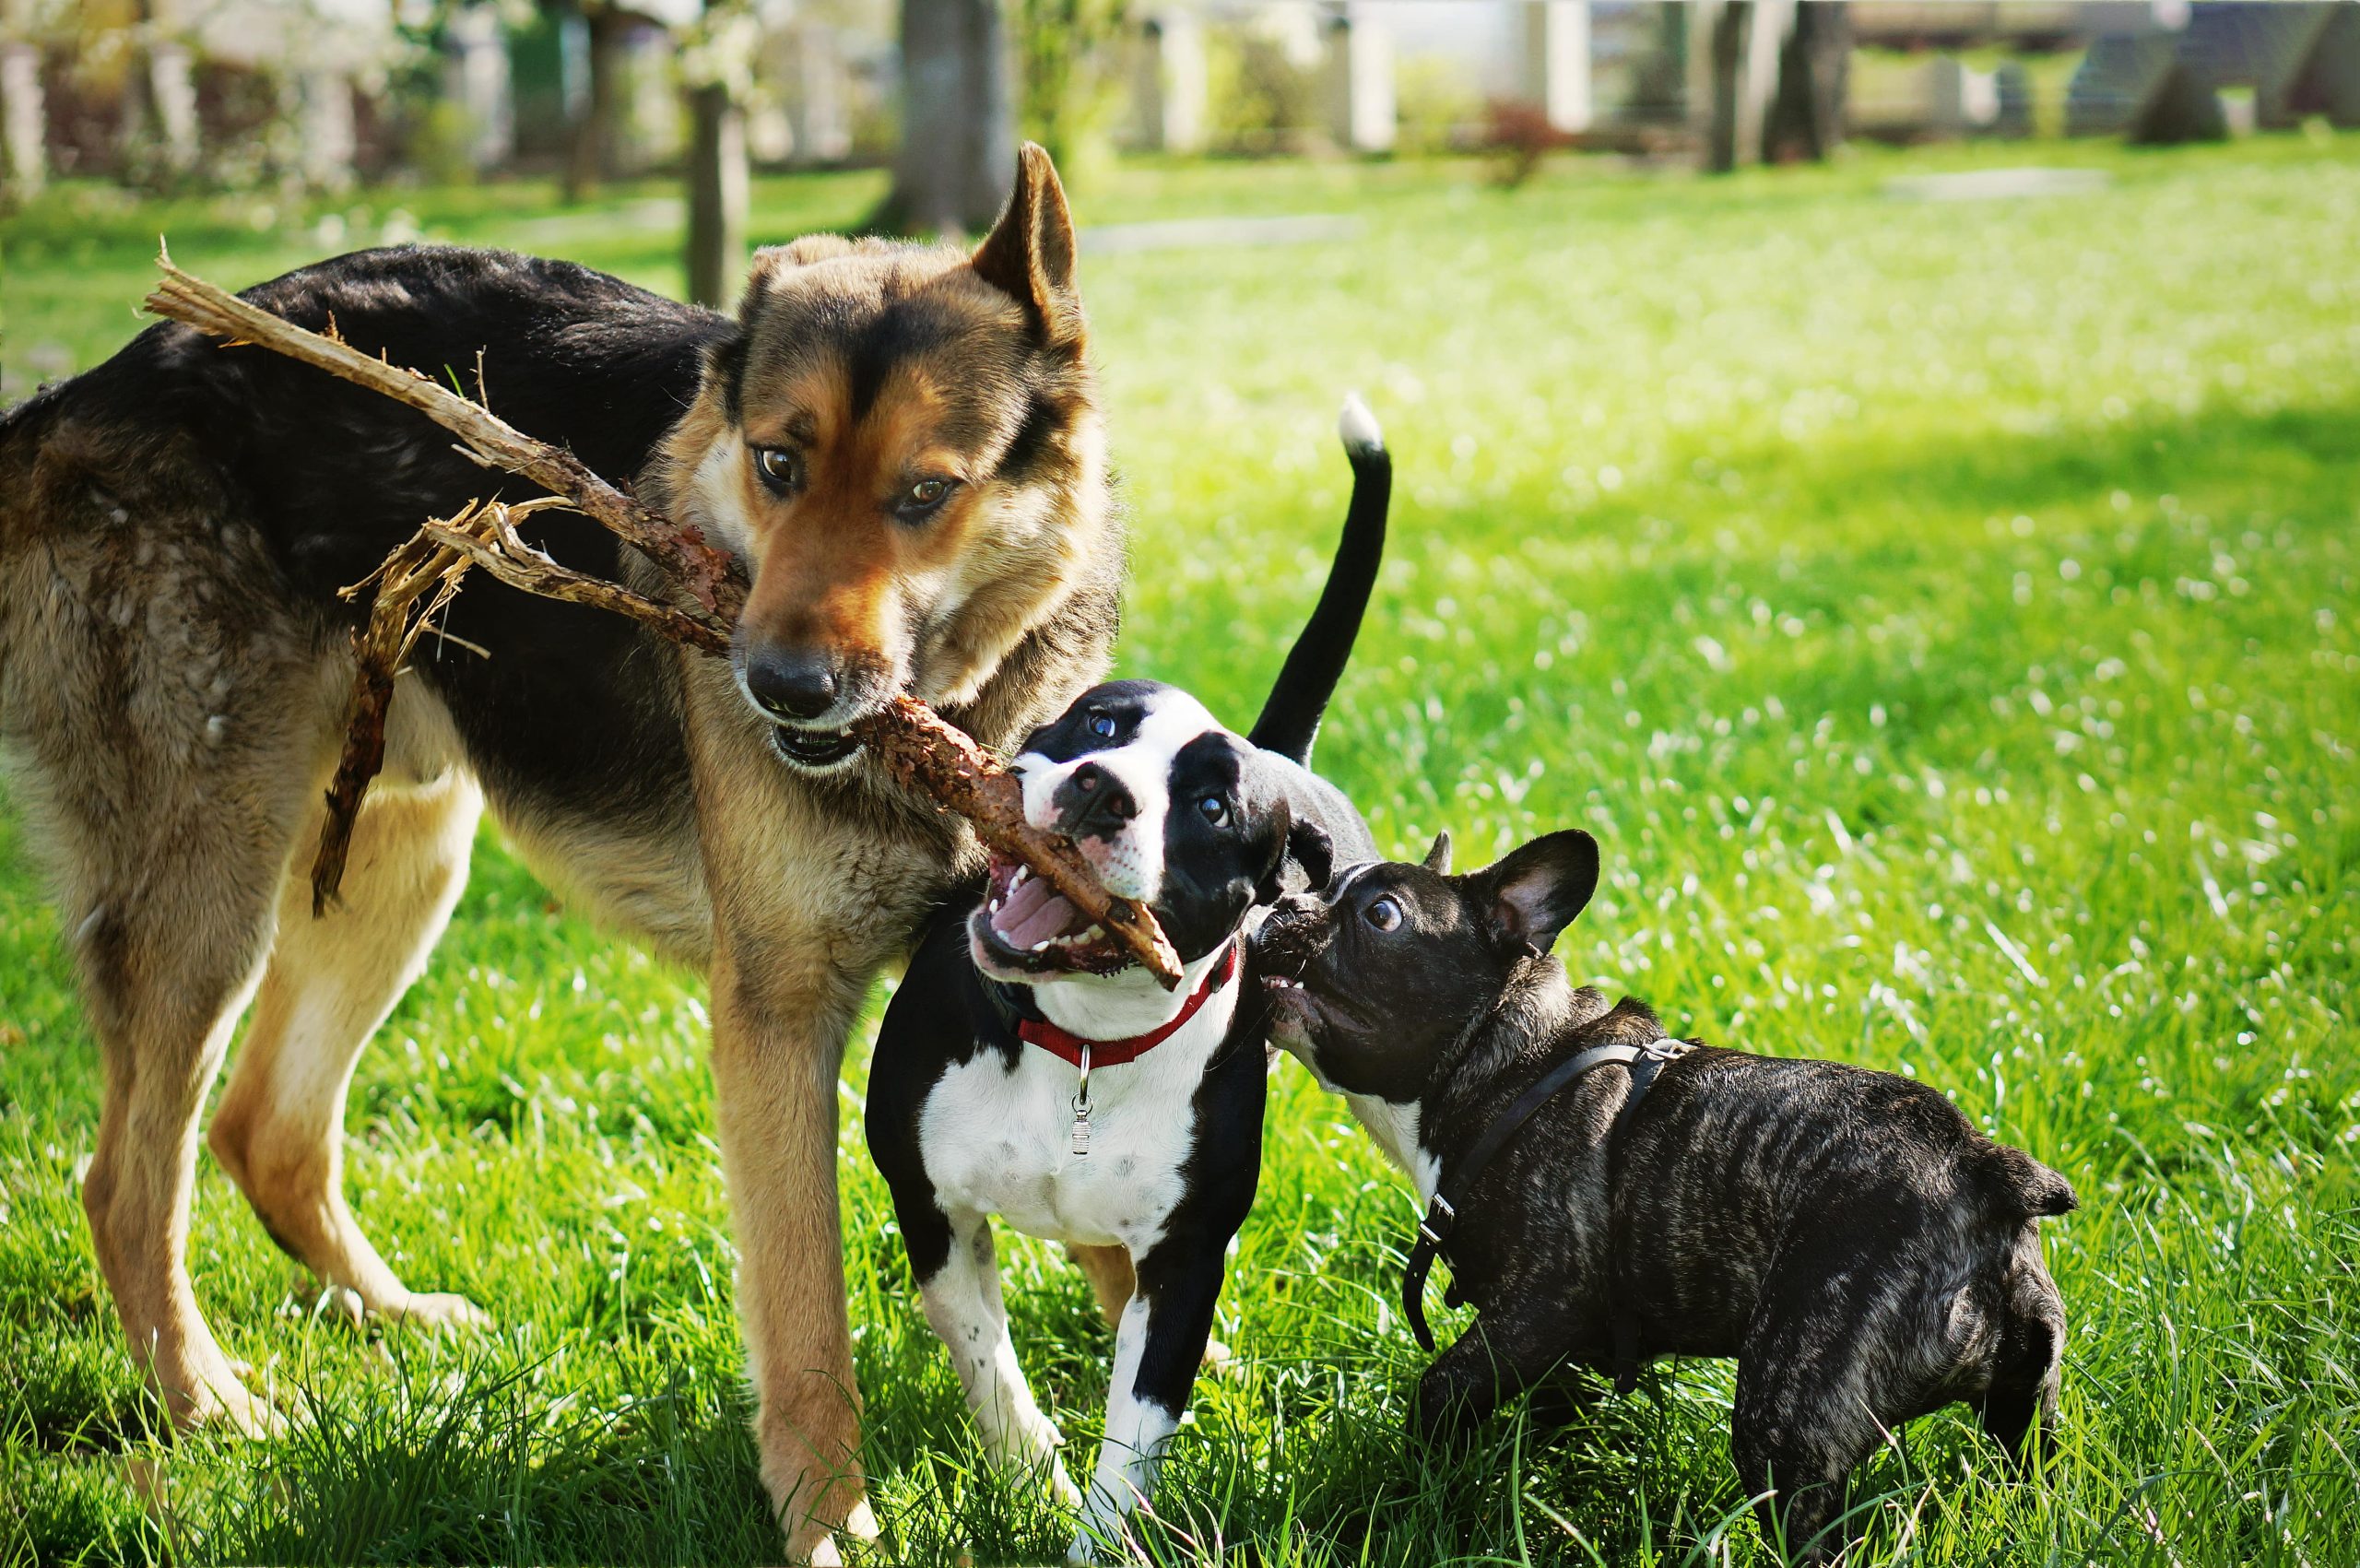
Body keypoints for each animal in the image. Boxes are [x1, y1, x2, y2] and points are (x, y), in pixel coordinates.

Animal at [0, 144, 1114, 1558]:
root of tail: (82, 393)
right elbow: (806, 1309)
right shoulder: (775, 1018)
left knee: (267, 1132)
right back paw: (211, 1407)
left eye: (925, 494)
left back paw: (393, 1323)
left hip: (397, 859)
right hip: (215, 893)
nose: (780, 688)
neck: (955, 723)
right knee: (127, 1182)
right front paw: (827, 1519)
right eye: (776, 464)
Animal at [863, 401, 1378, 1558]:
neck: (1081, 1044)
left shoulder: (1185, 1264)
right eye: (1100, 725)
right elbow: (990, 1369)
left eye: (1213, 808)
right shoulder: (932, 1210)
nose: (1102, 791)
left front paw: (1089, 1531)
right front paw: (1029, 1485)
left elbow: (1133, 1436)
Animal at [1255, 826, 2067, 1558]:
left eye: (1381, 914)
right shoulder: (1560, 1346)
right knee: (2029, 1467)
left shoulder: (1541, 1304)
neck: (1510, 1060)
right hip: (2028, 1397)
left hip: (1789, 1412)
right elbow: (1554, 1409)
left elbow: (1440, 1390)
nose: (1284, 902)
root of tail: (1976, 1167)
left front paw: (1417, 1487)